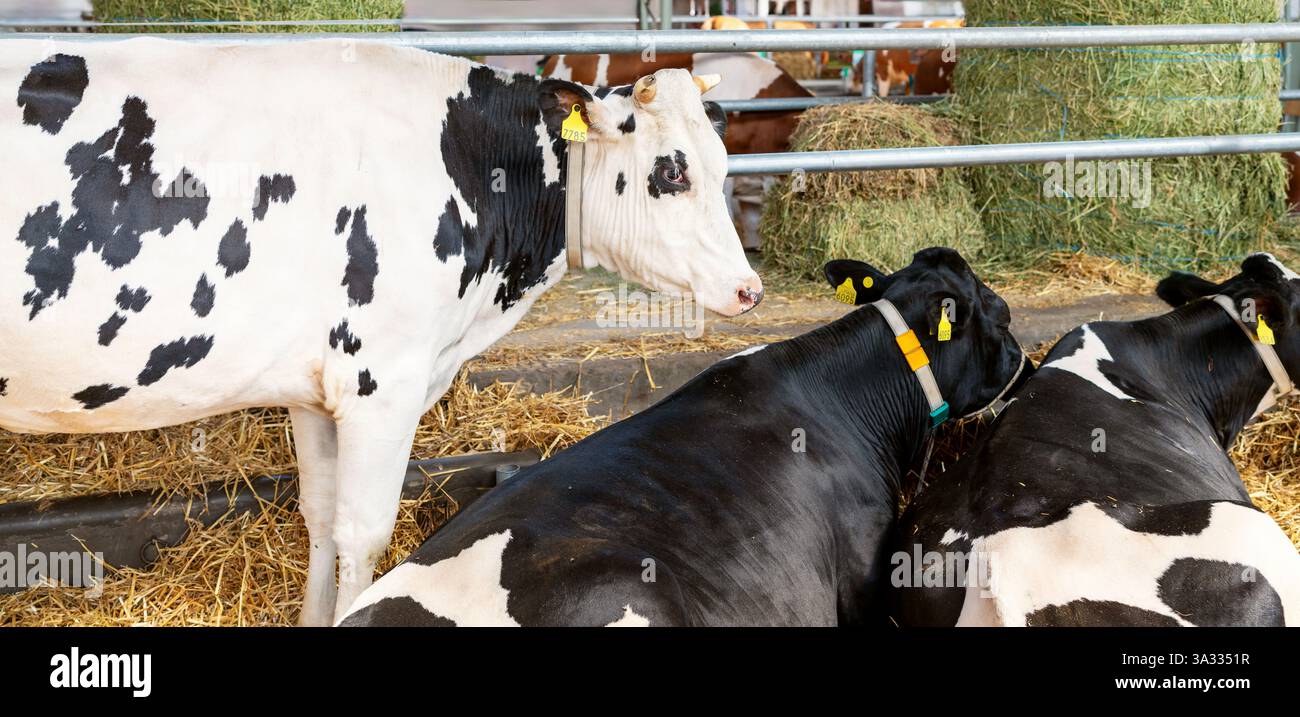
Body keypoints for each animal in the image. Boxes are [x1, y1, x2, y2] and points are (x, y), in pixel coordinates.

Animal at [0, 38, 763, 626]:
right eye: (672, 171)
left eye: (723, 162)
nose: (750, 288)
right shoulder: (382, 383)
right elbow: (363, 533)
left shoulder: (315, 388)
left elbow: (318, 516)